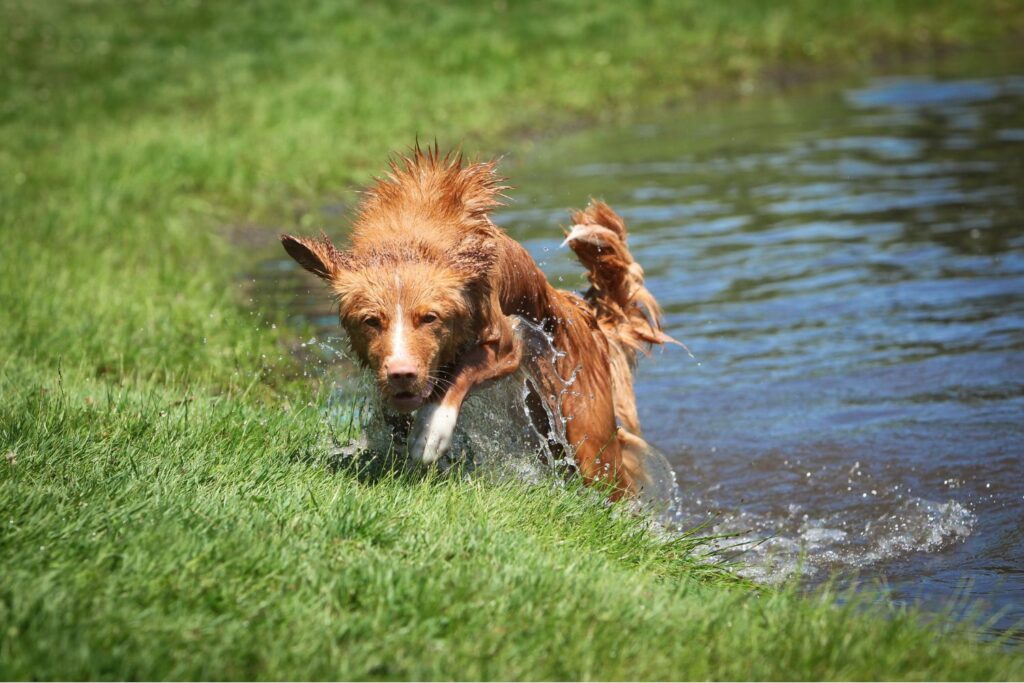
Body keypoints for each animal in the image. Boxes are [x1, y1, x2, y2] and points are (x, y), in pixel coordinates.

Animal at [284, 144, 675, 499]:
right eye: (370, 321)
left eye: (430, 318)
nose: (401, 374)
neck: (409, 244)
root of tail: (582, 313)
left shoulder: (507, 343)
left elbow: (459, 375)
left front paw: (432, 429)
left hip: (588, 436)